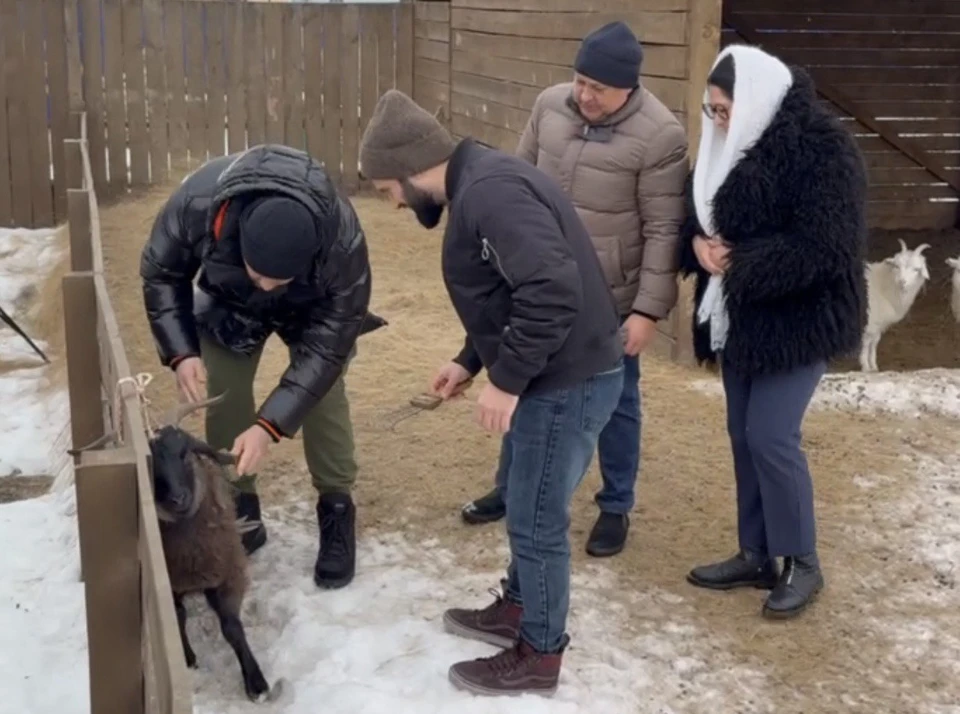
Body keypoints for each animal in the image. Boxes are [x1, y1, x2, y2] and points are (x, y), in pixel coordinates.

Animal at [860, 239, 928, 372]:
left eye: (916, 269)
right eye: (896, 266)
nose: (902, 282)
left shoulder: (878, 322)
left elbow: (874, 342)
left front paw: (873, 365)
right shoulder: (870, 320)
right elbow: (866, 342)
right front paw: (865, 366)